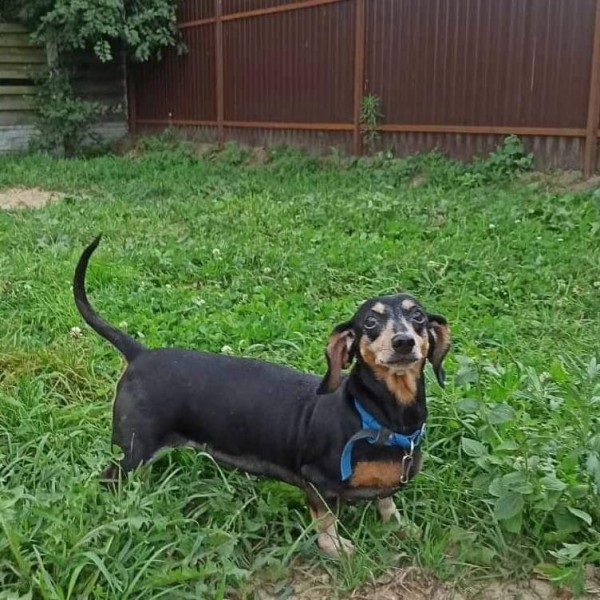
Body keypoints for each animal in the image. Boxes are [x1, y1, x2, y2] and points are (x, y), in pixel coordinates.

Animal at [73, 235, 450, 557]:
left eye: (417, 315)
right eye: (370, 323)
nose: (403, 342)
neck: (375, 414)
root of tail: (140, 354)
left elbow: (386, 502)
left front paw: (399, 526)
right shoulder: (317, 481)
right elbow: (326, 519)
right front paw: (334, 547)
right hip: (133, 448)